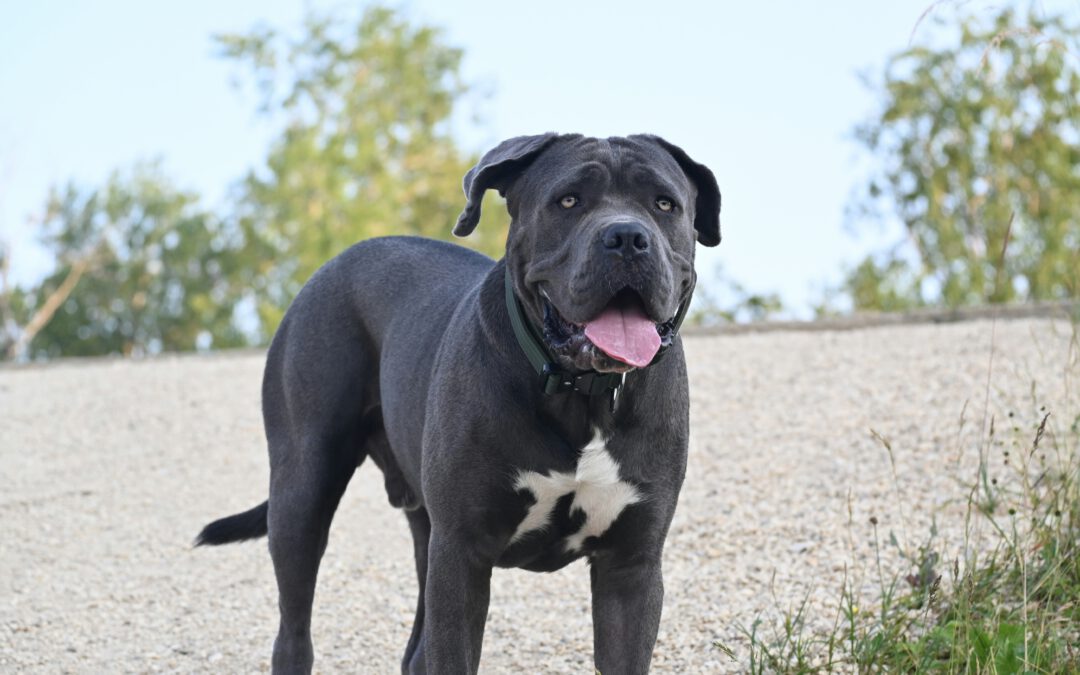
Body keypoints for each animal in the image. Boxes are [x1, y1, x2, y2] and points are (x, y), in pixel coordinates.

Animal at [198, 132, 721, 673]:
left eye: (664, 204)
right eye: (569, 201)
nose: (626, 237)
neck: (582, 395)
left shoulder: (631, 568)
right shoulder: (462, 556)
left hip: (423, 530)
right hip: (302, 489)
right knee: (294, 626)